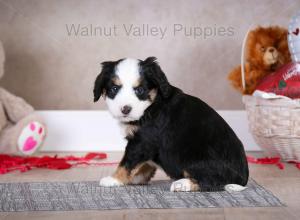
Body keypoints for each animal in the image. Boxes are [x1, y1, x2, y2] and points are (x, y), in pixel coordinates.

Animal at [94, 57, 248, 192]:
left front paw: (114, 179)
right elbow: (143, 163)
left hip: (195, 156)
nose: (125, 109)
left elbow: (128, 161)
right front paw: (137, 177)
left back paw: (183, 184)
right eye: (114, 89)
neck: (151, 105)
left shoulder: (142, 141)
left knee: (212, 182)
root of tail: (243, 178)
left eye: (140, 90)